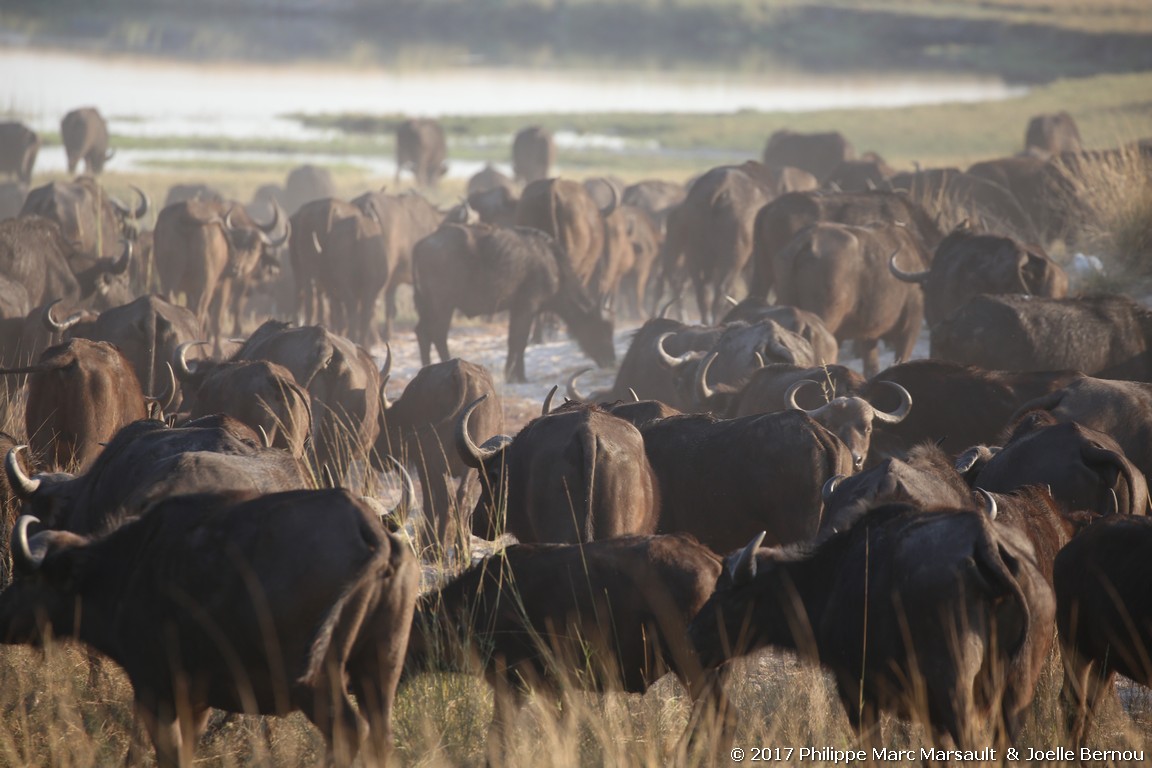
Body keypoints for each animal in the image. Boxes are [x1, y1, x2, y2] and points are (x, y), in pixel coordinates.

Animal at [1, 492, 419, 768]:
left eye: (27, 578)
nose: (3, 615)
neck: (129, 567)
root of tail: (373, 531)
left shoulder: (155, 690)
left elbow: (168, 754)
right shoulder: (197, 701)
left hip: (318, 680)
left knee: (348, 732)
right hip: (381, 669)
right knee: (380, 735)